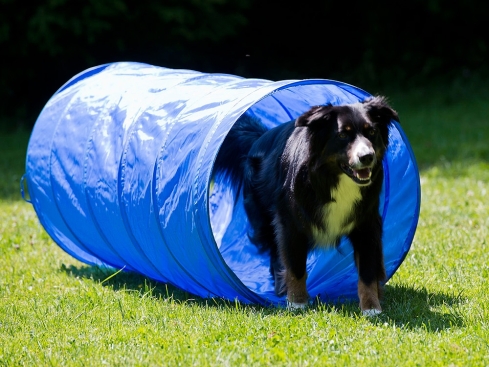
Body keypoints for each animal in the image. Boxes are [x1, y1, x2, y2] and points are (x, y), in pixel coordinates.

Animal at [214, 96, 396, 314]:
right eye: (343, 135)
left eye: (372, 132)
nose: (367, 157)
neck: (335, 179)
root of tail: (260, 137)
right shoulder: (291, 223)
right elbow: (295, 265)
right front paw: (297, 301)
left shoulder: (367, 222)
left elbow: (367, 268)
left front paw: (371, 307)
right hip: (263, 216)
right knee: (274, 250)